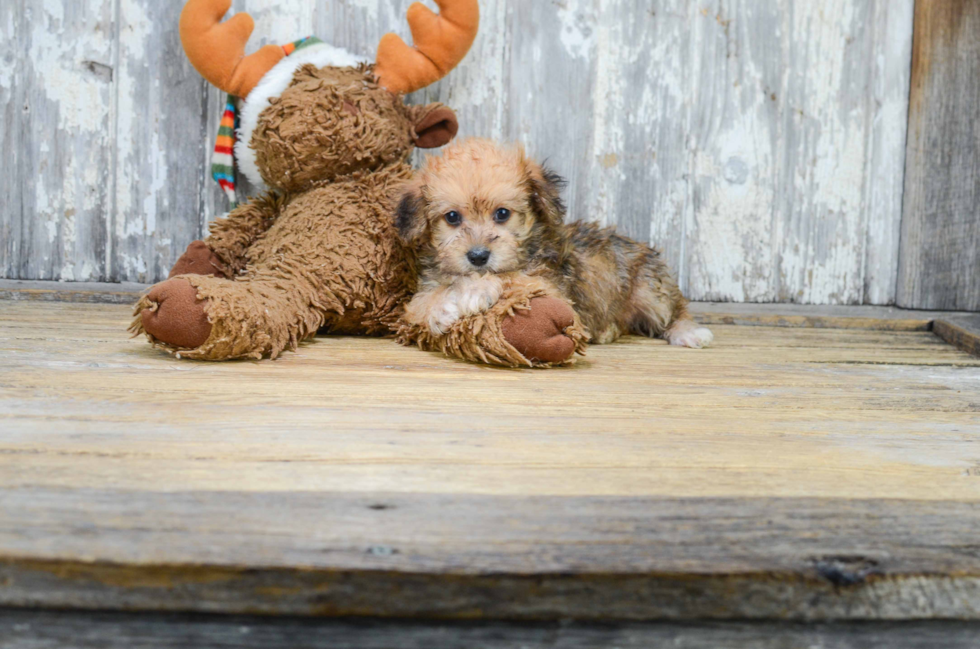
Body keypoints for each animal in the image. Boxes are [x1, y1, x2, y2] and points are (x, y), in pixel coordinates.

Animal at [392, 139, 712, 356]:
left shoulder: (551, 287)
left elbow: (512, 277)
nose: (478, 256)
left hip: (651, 289)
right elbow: (418, 304)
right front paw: (444, 306)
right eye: (452, 217)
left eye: (502, 214)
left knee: (676, 309)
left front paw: (476, 289)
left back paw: (689, 332)